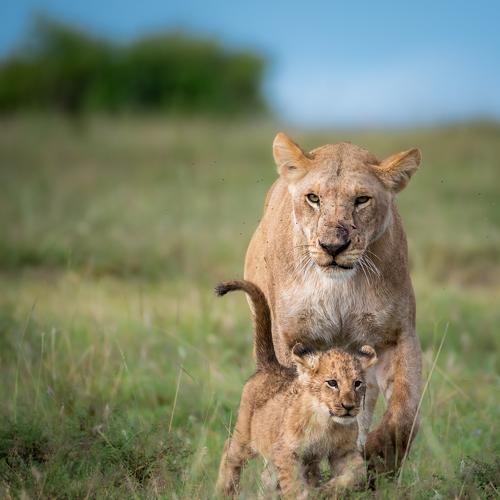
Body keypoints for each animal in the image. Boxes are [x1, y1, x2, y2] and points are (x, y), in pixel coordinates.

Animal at [215, 279, 377, 499]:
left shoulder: (343, 452)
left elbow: (357, 474)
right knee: (229, 451)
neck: (327, 423)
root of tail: (271, 366)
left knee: (266, 475)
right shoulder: (286, 451)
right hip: (246, 436)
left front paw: (325, 490)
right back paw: (223, 491)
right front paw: (308, 493)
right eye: (332, 383)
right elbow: (293, 486)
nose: (349, 407)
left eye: (357, 383)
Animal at [244, 133, 423, 472]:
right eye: (313, 198)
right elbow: (297, 402)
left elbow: (405, 413)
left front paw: (378, 459)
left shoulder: (397, 335)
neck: (338, 288)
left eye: (362, 200)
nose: (333, 246)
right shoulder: (291, 339)